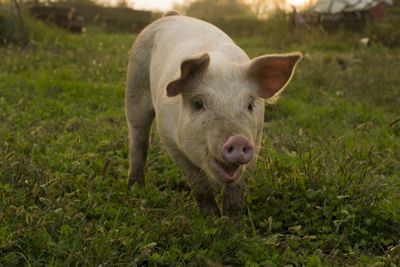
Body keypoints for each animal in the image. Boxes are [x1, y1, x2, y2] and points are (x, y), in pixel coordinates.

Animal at [124, 11, 300, 220]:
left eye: (250, 104)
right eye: (198, 104)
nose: (238, 139)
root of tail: (172, 15)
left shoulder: (256, 142)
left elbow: (236, 191)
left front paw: (232, 224)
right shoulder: (170, 140)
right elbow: (199, 185)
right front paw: (211, 219)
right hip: (135, 86)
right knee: (138, 139)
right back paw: (136, 188)